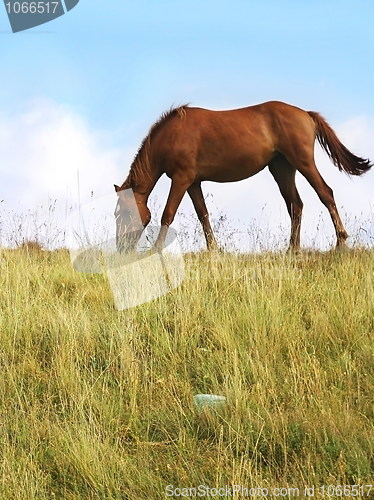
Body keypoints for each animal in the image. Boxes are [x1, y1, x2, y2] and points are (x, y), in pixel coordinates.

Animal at [114, 101, 372, 250]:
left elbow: (167, 214)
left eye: (123, 213)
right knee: (295, 205)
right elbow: (203, 215)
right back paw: (292, 249)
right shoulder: (193, 183)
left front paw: (156, 250)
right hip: (282, 169)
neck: (171, 135)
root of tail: (306, 114)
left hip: (303, 162)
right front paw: (214, 250)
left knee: (325, 193)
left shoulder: (181, 179)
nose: (120, 248)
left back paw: (340, 241)